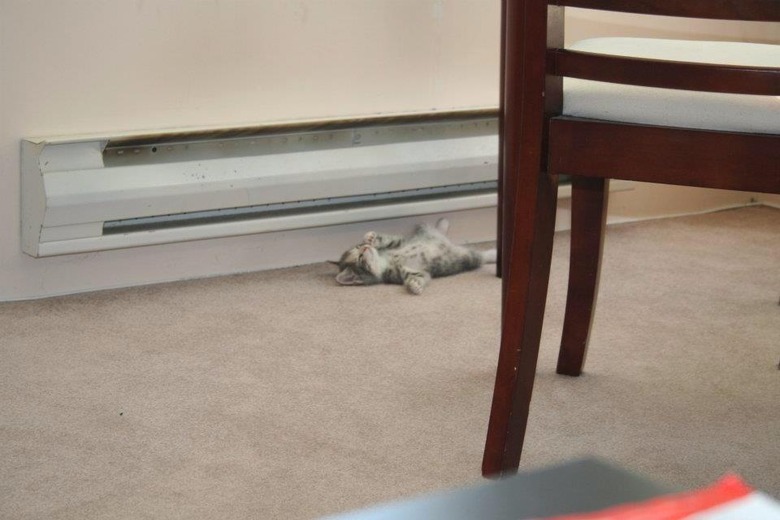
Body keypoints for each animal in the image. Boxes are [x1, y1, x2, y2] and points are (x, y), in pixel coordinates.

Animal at [332, 217, 496, 294]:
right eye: (360, 259)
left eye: (358, 247)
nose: (365, 247)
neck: (385, 261)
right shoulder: (404, 272)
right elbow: (419, 276)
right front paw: (415, 285)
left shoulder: (401, 241)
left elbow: (390, 239)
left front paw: (371, 238)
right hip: (465, 257)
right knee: (480, 256)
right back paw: (494, 254)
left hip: (428, 233)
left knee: (435, 230)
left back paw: (442, 222)